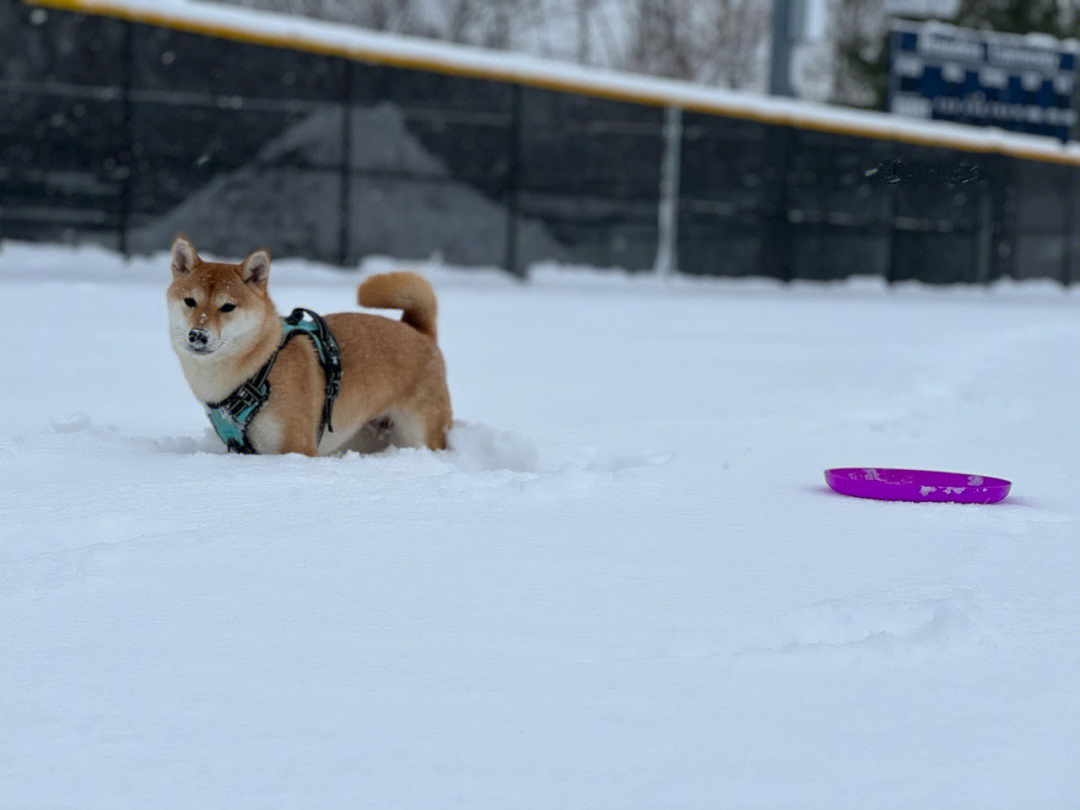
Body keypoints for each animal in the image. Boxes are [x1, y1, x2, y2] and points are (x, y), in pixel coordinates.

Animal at [165, 239, 451, 457]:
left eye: (227, 307)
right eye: (190, 301)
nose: (197, 335)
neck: (260, 368)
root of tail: (420, 333)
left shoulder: (296, 446)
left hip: (419, 433)